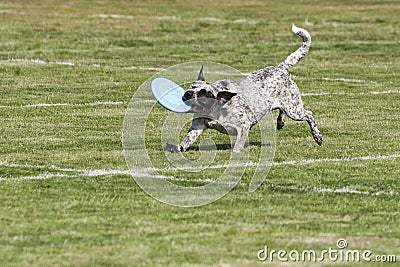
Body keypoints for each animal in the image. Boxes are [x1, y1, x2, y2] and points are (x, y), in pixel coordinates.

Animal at [164, 25, 324, 155]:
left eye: (204, 94)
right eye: (192, 86)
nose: (188, 93)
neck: (217, 109)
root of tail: (280, 68)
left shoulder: (243, 126)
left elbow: (238, 145)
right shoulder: (197, 126)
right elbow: (186, 141)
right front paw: (177, 148)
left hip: (294, 110)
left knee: (309, 115)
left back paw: (317, 136)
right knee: (282, 111)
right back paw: (280, 122)